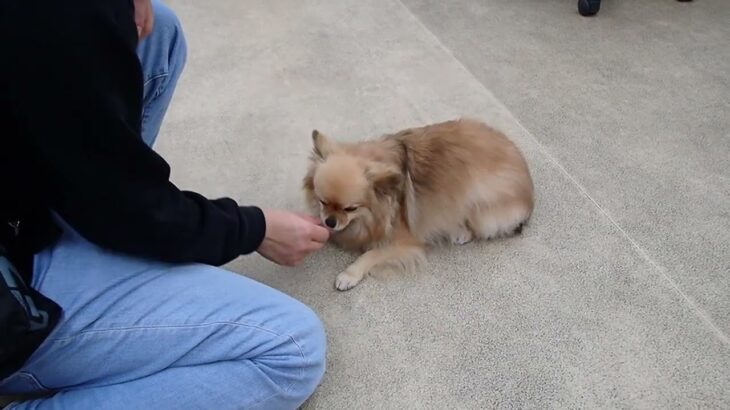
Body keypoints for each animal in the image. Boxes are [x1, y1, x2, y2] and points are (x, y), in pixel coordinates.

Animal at [298, 117, 532, 292]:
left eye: (350, 209)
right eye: (323, 201)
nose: (330, 221)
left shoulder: (405, 243)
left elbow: (371, 254)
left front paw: (350, 274)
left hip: (480, 201)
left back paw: (462, 233)